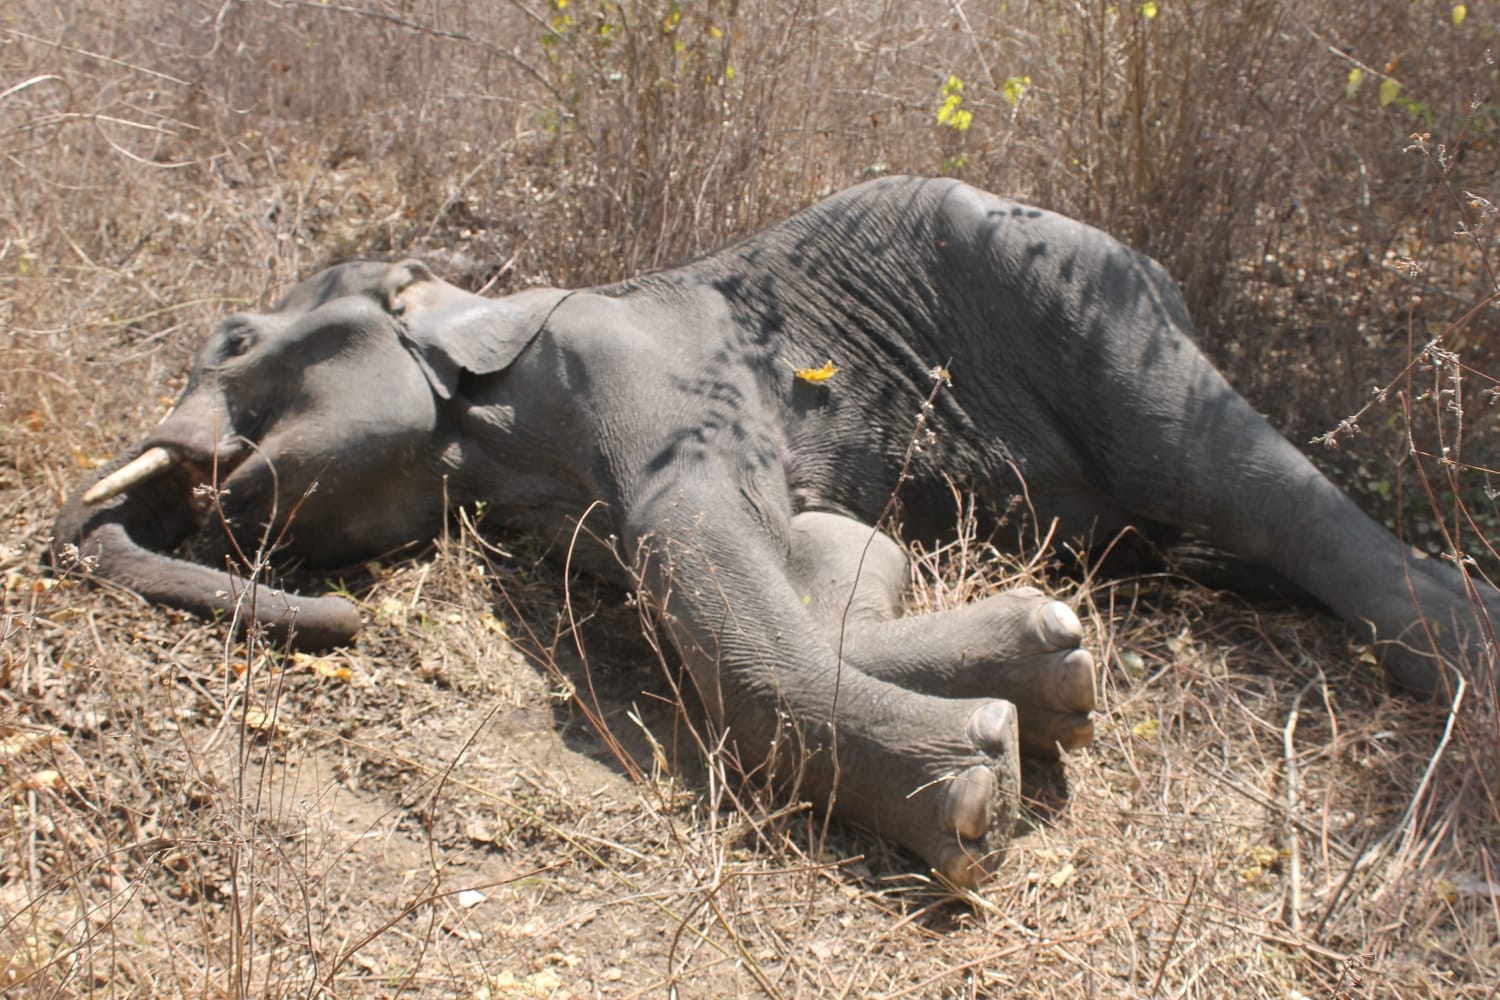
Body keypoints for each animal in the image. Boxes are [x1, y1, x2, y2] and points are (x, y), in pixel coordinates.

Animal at [53, 175, 1495, 888]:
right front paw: (1046, 671)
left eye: (239, 342)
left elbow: (714, 586)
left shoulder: (636, 374)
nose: (204, 484)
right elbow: (830, 563)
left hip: (1088, 311)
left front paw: (978, 790)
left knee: (1231, 474)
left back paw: (1461, 663)